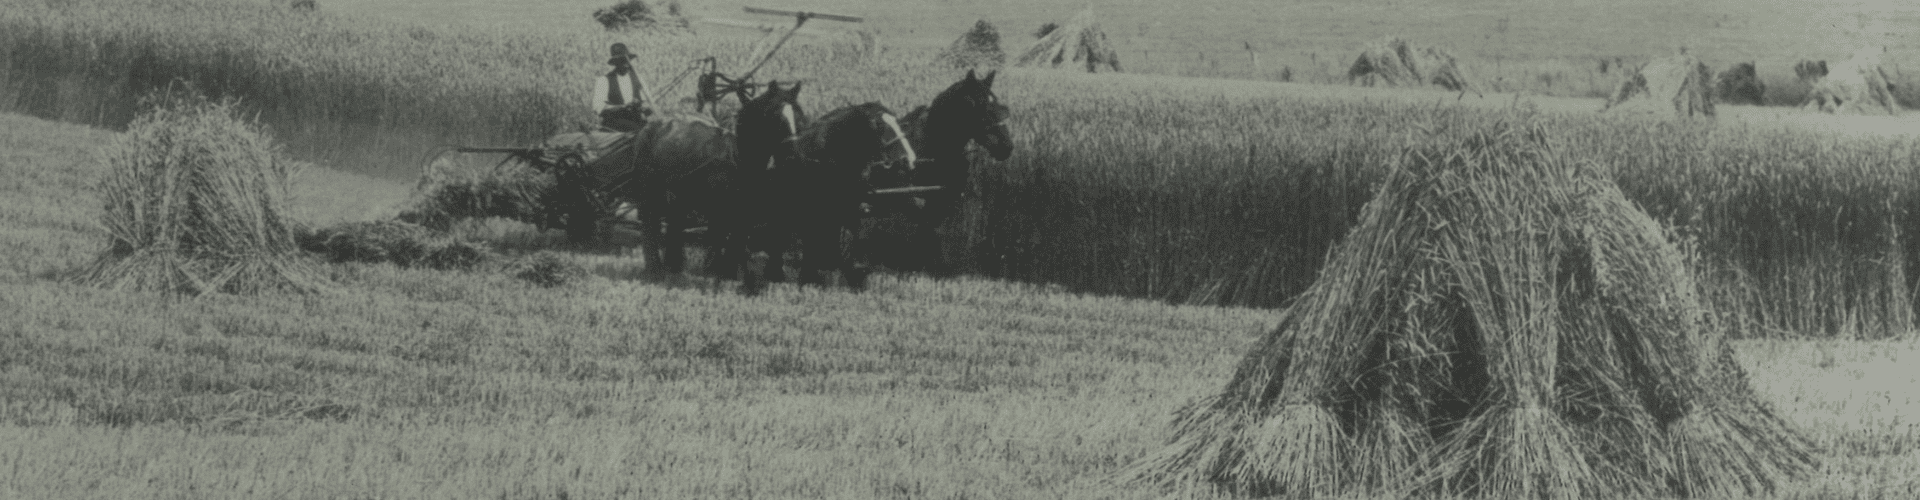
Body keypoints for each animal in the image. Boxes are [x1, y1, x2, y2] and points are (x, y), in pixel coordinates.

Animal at [725, 81, 921, 292]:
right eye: (876, 125)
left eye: (899, 123)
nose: (909, 159)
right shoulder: (813, 206)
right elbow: (813, 238)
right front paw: (810, 276)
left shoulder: (849, 206)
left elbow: (849, 237)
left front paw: (854, 276)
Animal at [883, 68, 1021, 275]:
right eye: (975, 105)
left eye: (999, 105)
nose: (1006, 147)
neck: (933, 147)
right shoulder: (913, 198)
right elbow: (926, 227)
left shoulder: (944, 199)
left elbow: (933, 229)